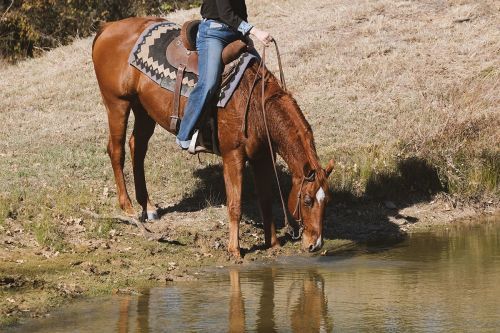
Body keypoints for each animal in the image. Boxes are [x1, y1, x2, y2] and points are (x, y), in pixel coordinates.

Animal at [93, 16, 336, 255]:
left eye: (327, 201)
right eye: (307, 200)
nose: (315, 244)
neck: (254, 104)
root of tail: (109, 27)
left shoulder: (263, 156)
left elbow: (266, 200)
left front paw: (273, 244)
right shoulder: (233, 155)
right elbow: (235, 205)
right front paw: (234, 251)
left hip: (143, 109)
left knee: (138, 147)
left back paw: (148, 207)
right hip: (117, 103)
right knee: (116, 150)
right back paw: (128, 208)